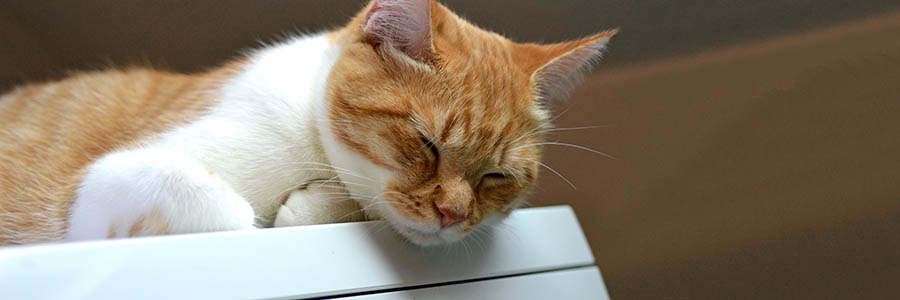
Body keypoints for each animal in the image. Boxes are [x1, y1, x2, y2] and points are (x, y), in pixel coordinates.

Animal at [0, 0, 616, 246]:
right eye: (426, 144)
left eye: (496, 177)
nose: (452, 216)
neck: (310, 147)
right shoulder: (99, 184)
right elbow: (232, 214)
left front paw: (314, 207)